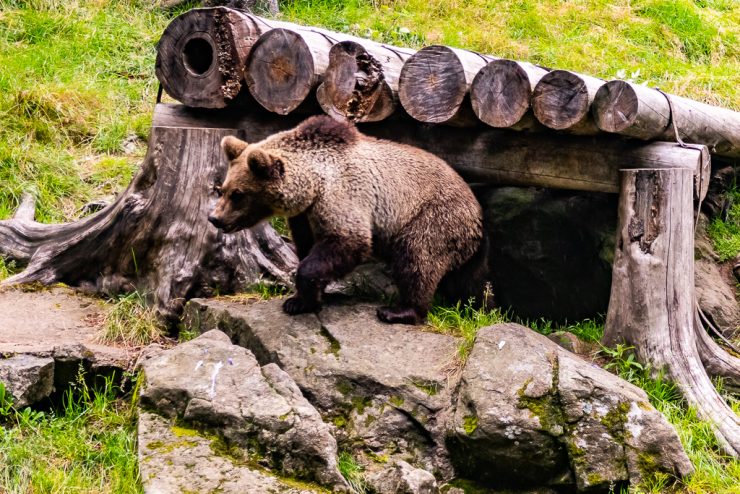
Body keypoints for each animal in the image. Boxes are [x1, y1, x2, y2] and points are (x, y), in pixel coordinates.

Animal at [208, 115, 486, 324]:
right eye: (223, 189)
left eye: (238, 194)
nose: (215, 218)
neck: (313, 184)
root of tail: (475, 206)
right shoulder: (305, 215)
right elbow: (309, 246)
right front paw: (299, 300)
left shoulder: (343, 194)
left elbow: (348, 242)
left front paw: (302, 296)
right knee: (467, 280)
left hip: (433, 217)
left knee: (417, 258)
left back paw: (400, 310)